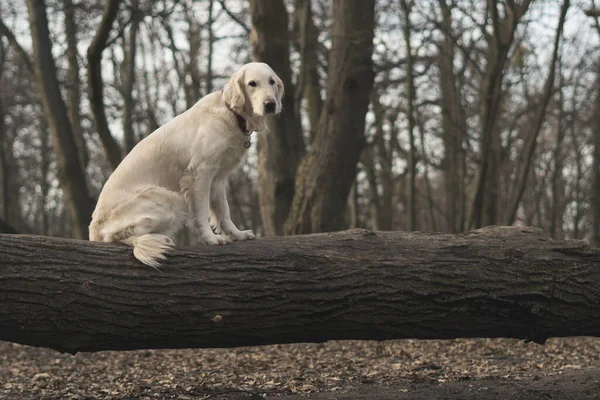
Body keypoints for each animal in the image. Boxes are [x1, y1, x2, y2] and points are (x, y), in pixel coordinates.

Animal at [89, 62, 284, 268]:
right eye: (252, 83)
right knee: (113, 236)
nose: (270, 104)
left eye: (272, 82)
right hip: (171, 199)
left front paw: (236, 234)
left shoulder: (218, 178)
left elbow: (223, 211)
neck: (232, 114)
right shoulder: (200, 173)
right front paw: (211, 238)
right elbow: (202, 211)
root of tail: (94, 231)